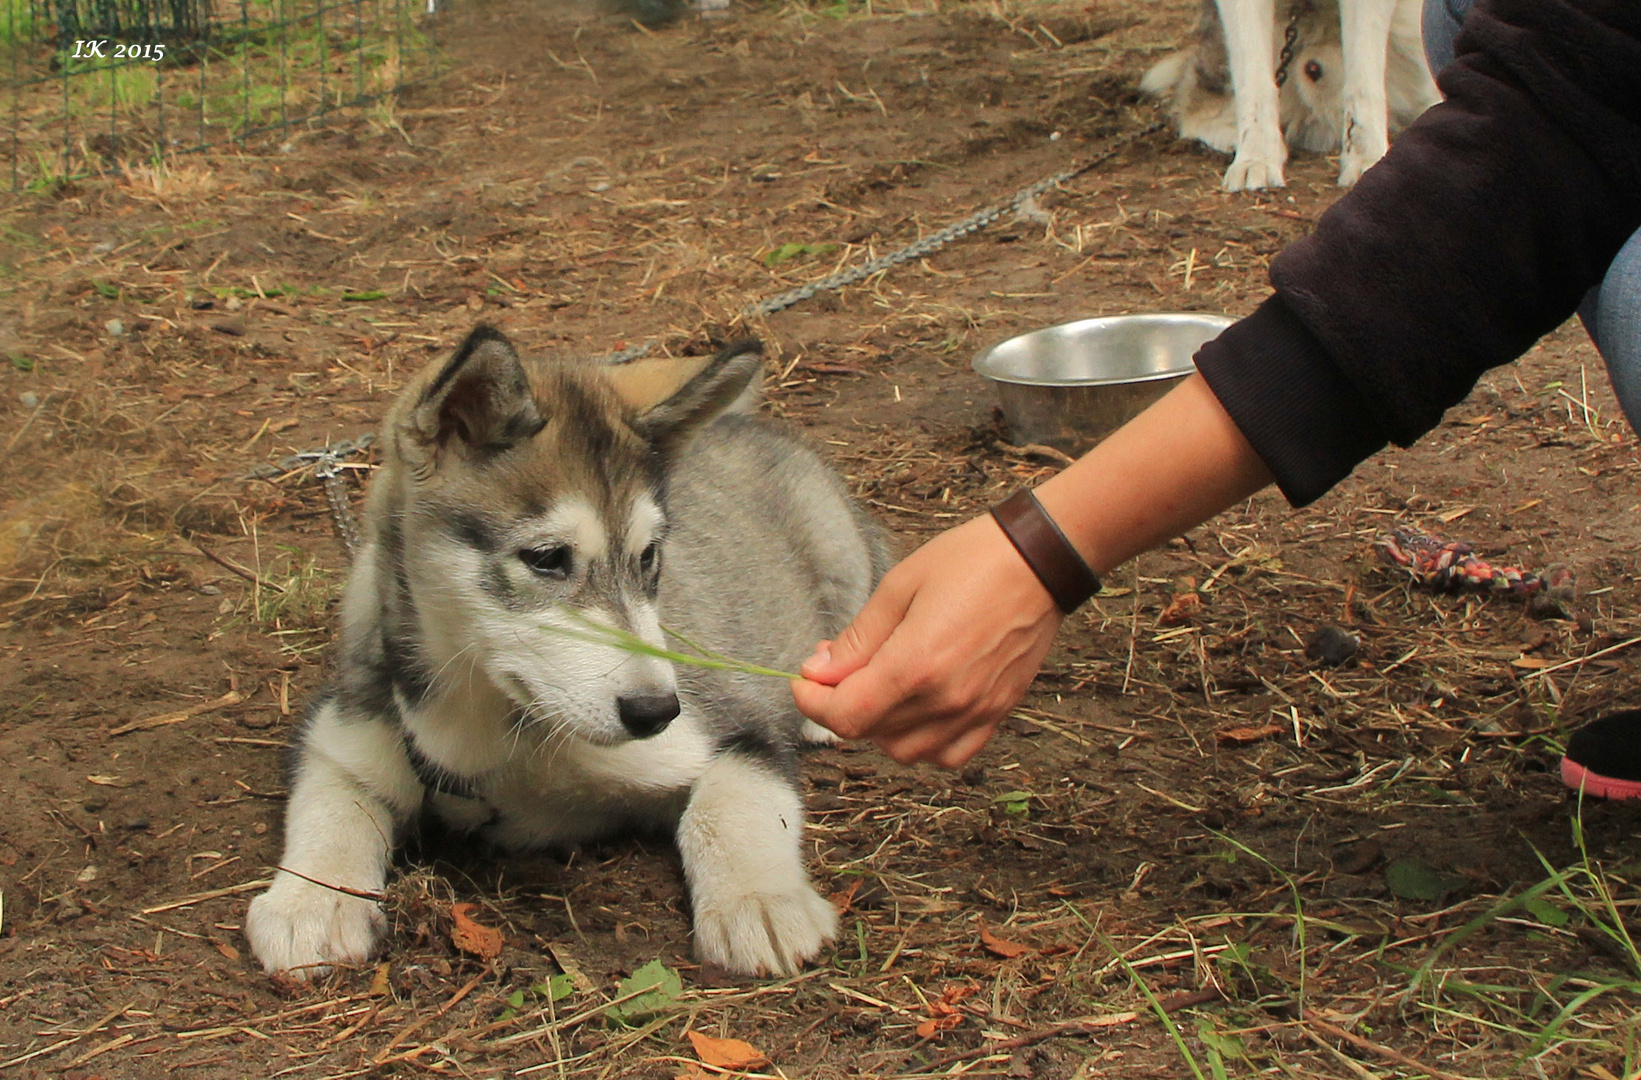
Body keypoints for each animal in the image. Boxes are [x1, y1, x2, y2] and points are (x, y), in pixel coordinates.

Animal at [246, 326, 886, 978]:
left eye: (649, 556)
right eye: (547, 557)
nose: (656, 712)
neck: (505, 734)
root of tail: (744, 424)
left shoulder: (732, 722)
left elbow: (730, 799)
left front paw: (759, 899)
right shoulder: (348, 720)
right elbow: (333, 798)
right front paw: (312, 901)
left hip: (838, 546)